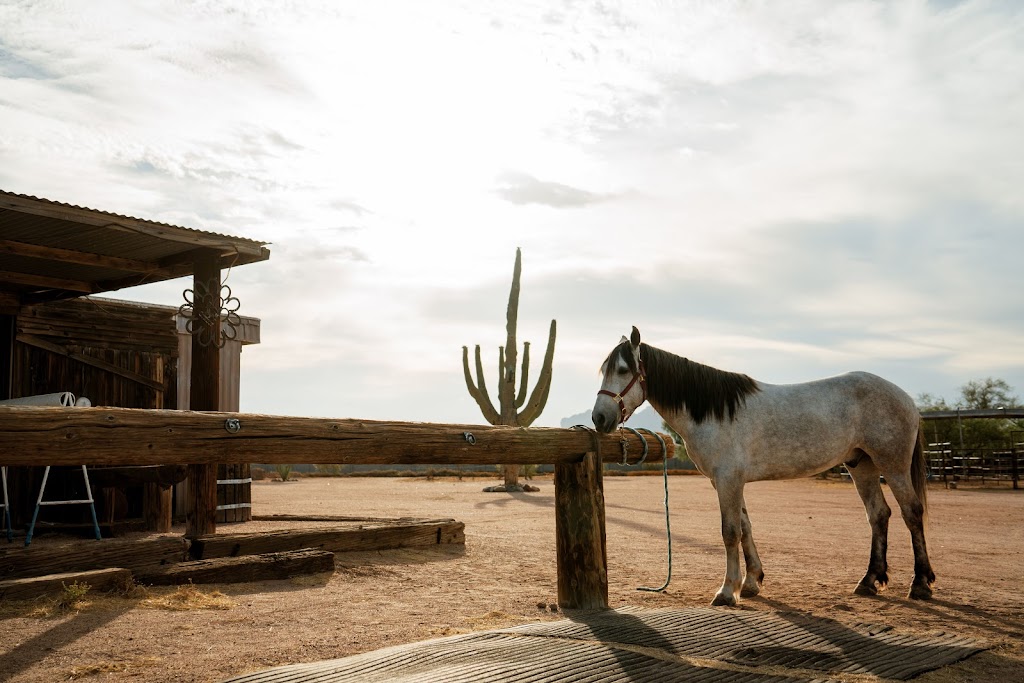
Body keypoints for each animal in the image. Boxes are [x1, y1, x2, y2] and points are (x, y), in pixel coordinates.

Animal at [593, 327, 937, 606]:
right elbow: (745, 528)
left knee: (911, 512)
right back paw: (868, 581)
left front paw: (727, 591)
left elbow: (730, 532)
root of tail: (905, 398)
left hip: (892, 465)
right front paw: (751, 582)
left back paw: (920, 584)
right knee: (878, 515)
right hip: (861, 465)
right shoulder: (726, 481)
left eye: (622, 369)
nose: (599, 418)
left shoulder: (729, 479)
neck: (715, 412)